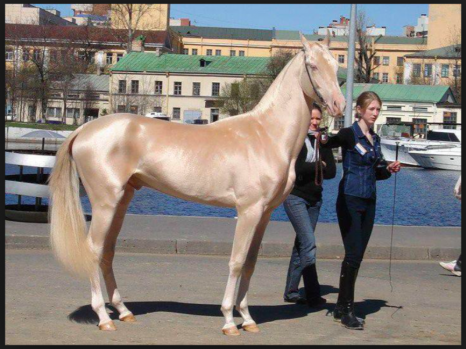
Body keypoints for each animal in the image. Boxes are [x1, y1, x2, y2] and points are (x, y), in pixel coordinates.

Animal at [48, 33, 346, 334]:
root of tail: (84, 129)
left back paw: (123, 311)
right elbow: (237, 262)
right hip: (104, 203)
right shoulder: (248, 211)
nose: (339, 105)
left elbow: (250, 263)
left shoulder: (264, 214)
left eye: (335, 65)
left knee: (107, 252)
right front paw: (229, 320)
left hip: (121, 202)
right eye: (313, 65)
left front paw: (248, 318)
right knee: (93, 251)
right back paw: (104, 317)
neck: (266, 135)